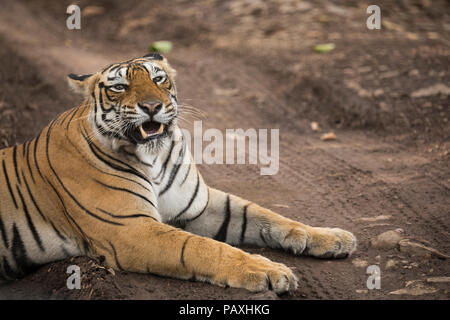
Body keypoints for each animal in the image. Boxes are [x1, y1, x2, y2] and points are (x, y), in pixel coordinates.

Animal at [0, 53, 356, 296]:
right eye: (119, 87)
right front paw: (267, 270)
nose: (151, 106)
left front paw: (331, 237)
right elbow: (200, 248)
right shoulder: (129, 228)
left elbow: (263, 215)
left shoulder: (198, 205)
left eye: (158, 79)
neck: (153, 158)